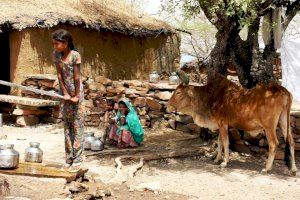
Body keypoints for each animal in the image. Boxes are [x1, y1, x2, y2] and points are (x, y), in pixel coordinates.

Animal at [168, 72, 296, 175]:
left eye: (178, 92)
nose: (168, 106)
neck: (210, 96)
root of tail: (284, 91)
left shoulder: (222, 123)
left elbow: (225, 142)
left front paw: (224, 162)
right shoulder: (221, 125)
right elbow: (219, 142)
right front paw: (217, 159)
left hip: (269, 127)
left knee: (274, 144)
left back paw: (266, 168)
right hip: (284, 122)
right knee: (291, 142)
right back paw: (293, 169)